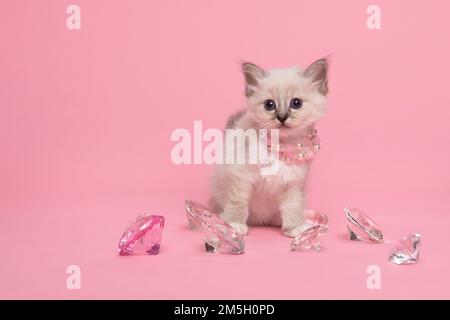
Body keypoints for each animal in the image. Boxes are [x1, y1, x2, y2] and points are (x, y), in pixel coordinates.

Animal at [209, 58, 328, 236]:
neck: (280, 146)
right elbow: (238, 203)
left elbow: (293, 207)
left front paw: (294, 228)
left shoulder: (294, 182)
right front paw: (235, 225)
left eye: (296, 103)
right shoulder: (242, 176)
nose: (282, 117)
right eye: (269, 105)